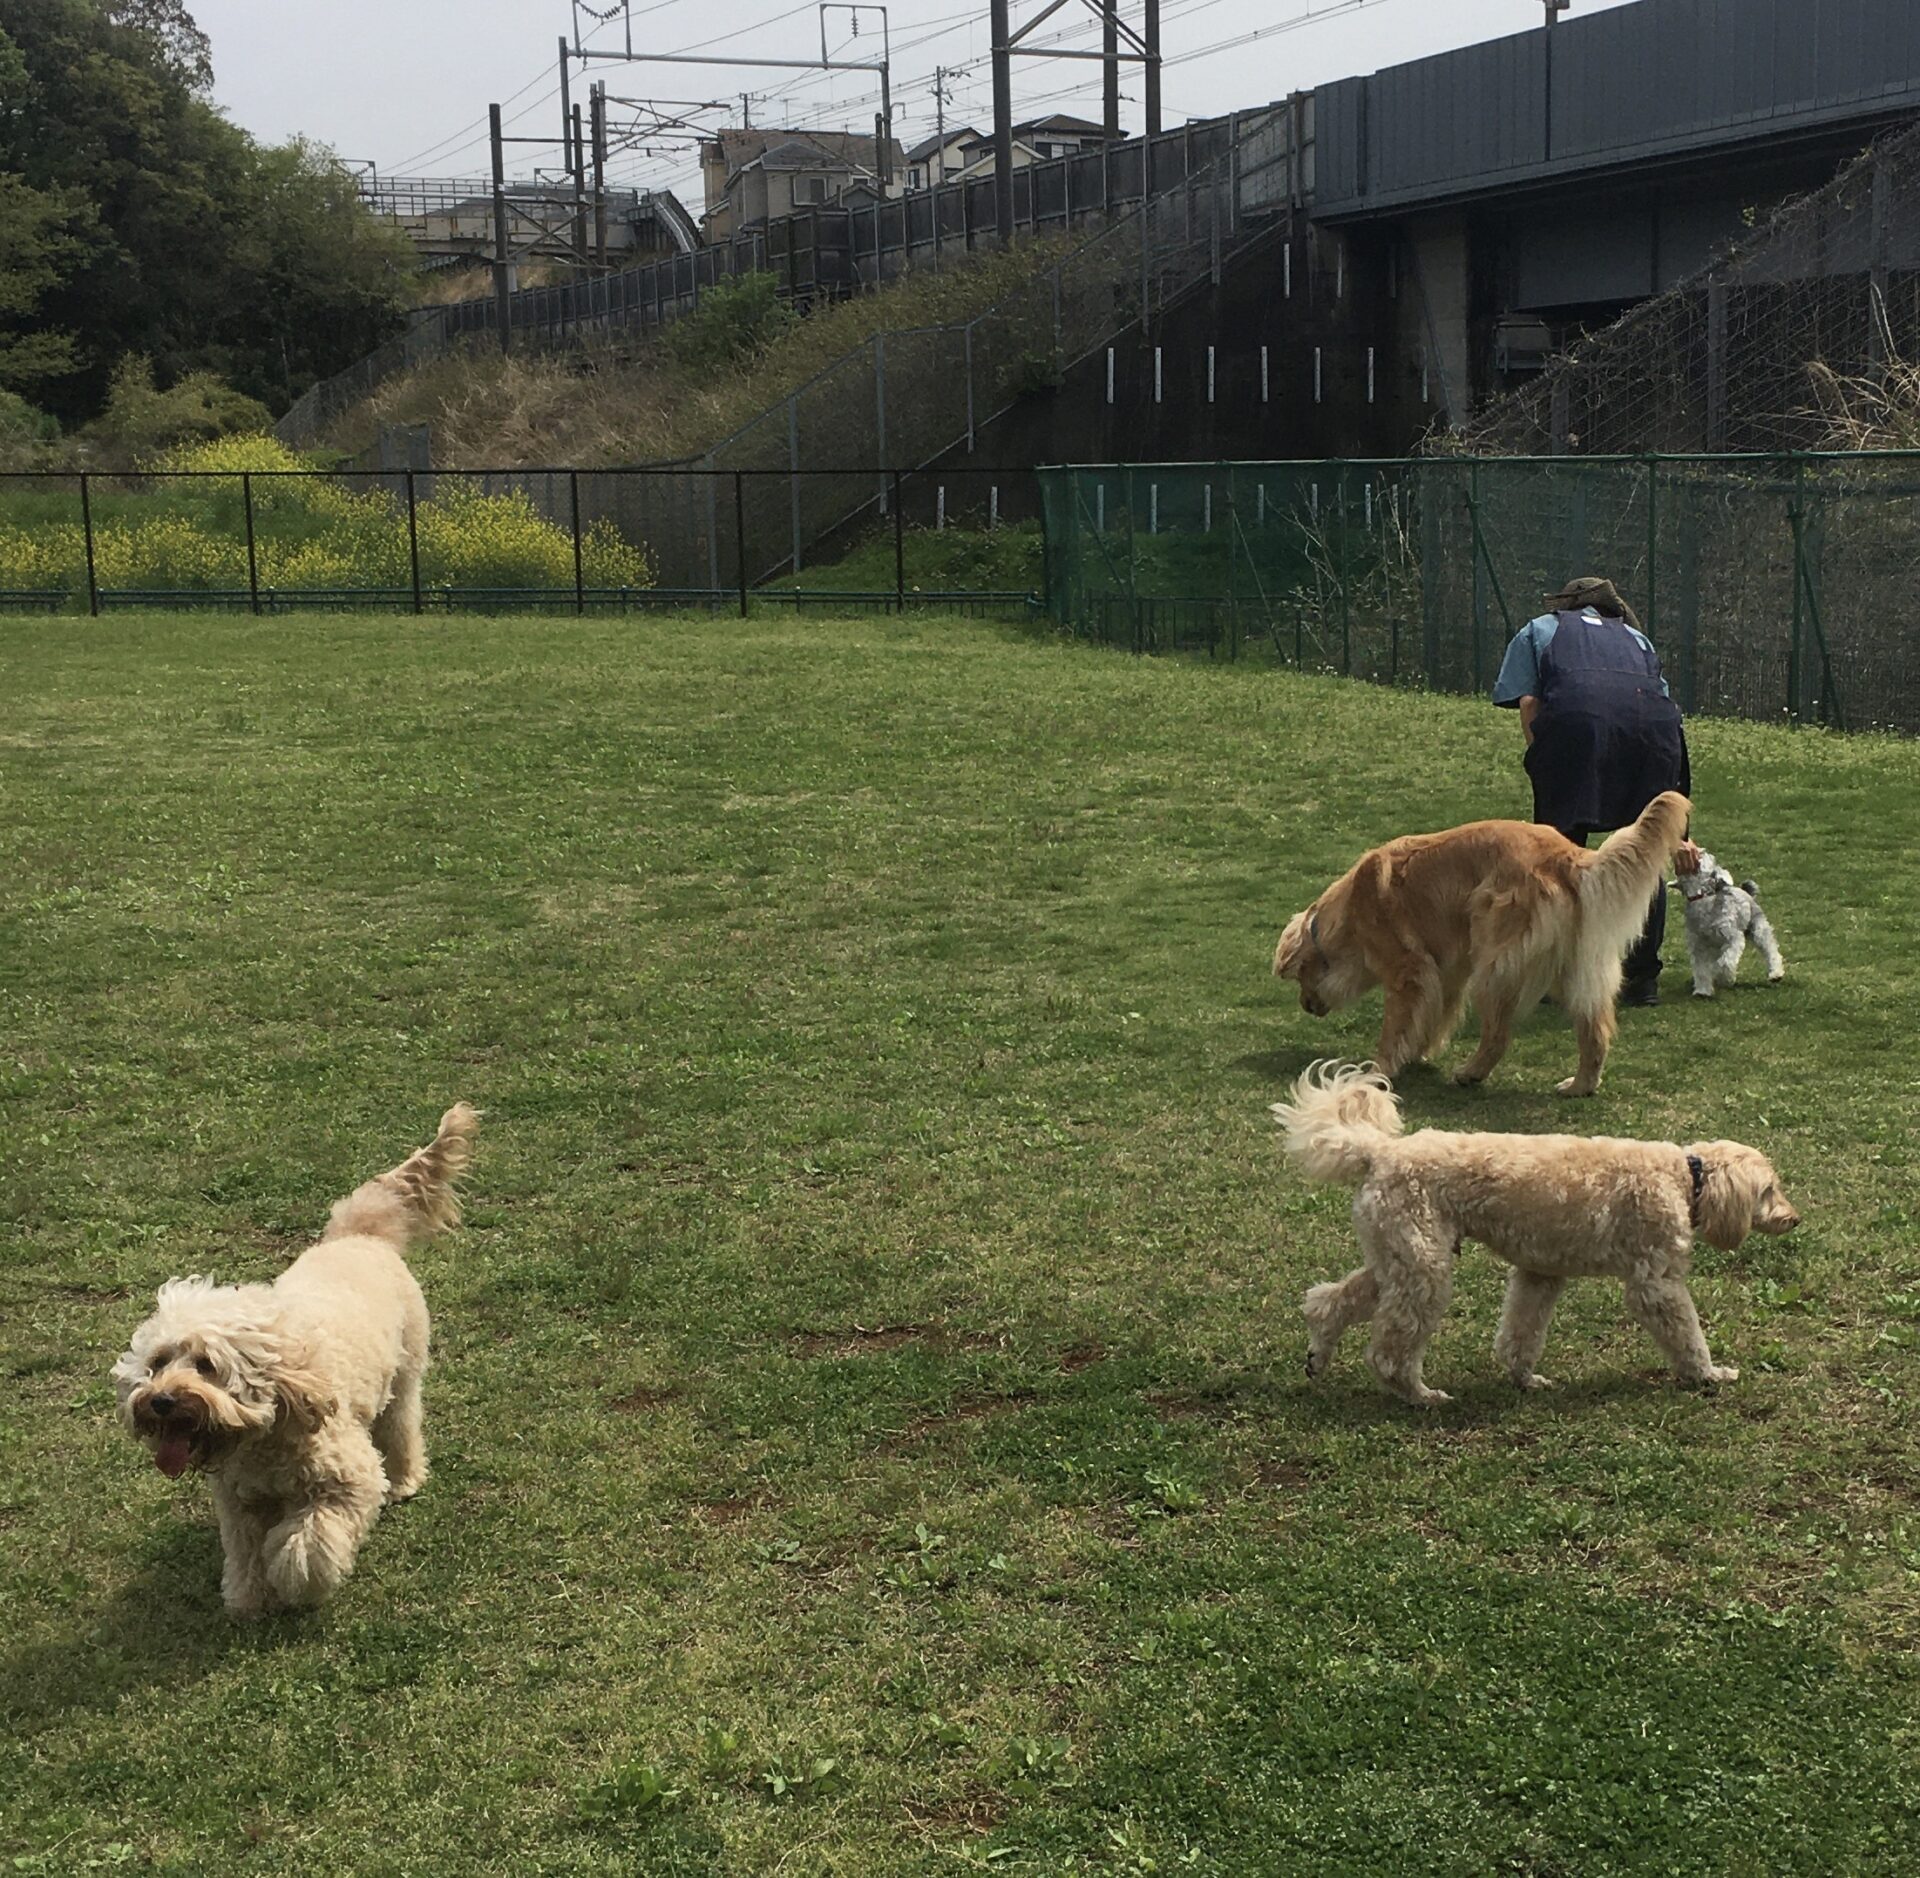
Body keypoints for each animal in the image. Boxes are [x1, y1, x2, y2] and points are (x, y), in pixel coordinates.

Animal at [114, 1104, 477, 1616]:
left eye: (206, 1365)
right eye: (159, 1362)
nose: (160, 1402)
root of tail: (357, 1233)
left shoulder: (347, 1480)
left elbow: (308, 1542)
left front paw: (296, 1581)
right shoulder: (239, 1503)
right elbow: (245, 1552)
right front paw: (247, 1598)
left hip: (404, 1376)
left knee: (401, 1427)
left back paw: (406, 1479)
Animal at [1271, 1063, 1798, 1405]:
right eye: (1769, 1190)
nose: (1794, 1219)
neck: (1685, 1177)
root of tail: (1379, 1153)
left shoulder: (1538, 1274)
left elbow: (1520, 1334)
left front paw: (1524, 1379)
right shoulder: (1657, 1284)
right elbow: (1687, 1334)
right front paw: (1709, 1374)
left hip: (1398, 1256)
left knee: (1328, 1301)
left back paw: (1318, 1355)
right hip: (1424, 1268)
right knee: (1389, 1351)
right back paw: (1420, 1395)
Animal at [1273, 792, 1690, 1096]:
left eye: (1300, 979)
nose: (1305, 1006)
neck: (1350, 917)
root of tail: (1567, 856)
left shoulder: (1409, 972)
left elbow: (1396, 1028)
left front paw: (1380, 1069)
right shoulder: (1443, 975)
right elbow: (1429, 1018)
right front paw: (1416, 1053)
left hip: (1494, 968)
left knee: (1498, 1036)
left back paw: (1471, 1073)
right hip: (1569, 969)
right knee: (1595, 1031)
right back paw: (1580, 1085)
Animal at [1672, 851, 1785, 999]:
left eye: (1707, 857)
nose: (1701, 850)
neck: (1703, 900)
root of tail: (1746, 892)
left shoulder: (1732, 938)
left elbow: (1724, 962)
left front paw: (1724, 978)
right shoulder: (1698, 946)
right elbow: (1701, 970)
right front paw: (1703, 991)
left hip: (1758, 929)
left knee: (1770, 949)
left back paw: (1775, 974)